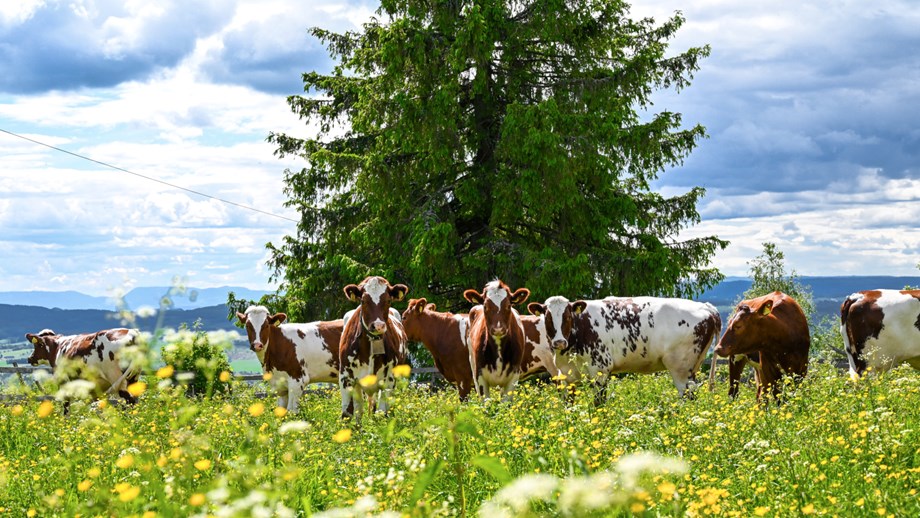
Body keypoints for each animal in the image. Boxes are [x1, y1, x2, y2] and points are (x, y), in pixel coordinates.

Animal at [340, 278, 408, 420]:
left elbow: (382, 413)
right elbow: (347, 414)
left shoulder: (389, 379)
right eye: (363, 301)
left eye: (388, 300)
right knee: (359, 409)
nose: (378, 326)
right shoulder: (345, 377)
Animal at [524, 296, 720, 406]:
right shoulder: (565, 375)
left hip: (680, 369)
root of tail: (706, 306)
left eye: (567, 316)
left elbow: (599, 404)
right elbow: (568, 406)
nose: (559, 342)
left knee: (688, 396)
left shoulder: (600, 370)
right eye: (547, 317)